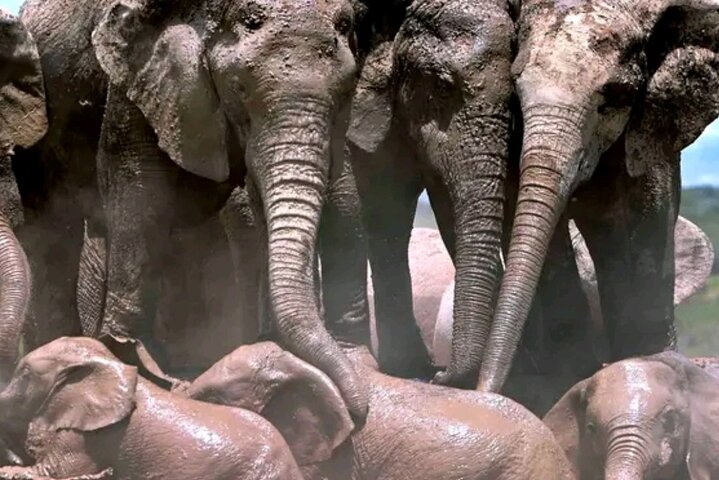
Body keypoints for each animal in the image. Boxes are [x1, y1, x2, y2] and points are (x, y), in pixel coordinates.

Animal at [20, 0, 371, 418]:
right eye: (238, 91)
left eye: (345, 95)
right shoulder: (140, 69)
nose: (359, 411)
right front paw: (132, 357)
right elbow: (140, 185)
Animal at [477, 0, 719, 393]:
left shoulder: (651, 119)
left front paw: (651, 361)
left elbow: (648, 208)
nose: (481, 389)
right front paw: (570, 373)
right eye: (515, 85)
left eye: (617, 96)